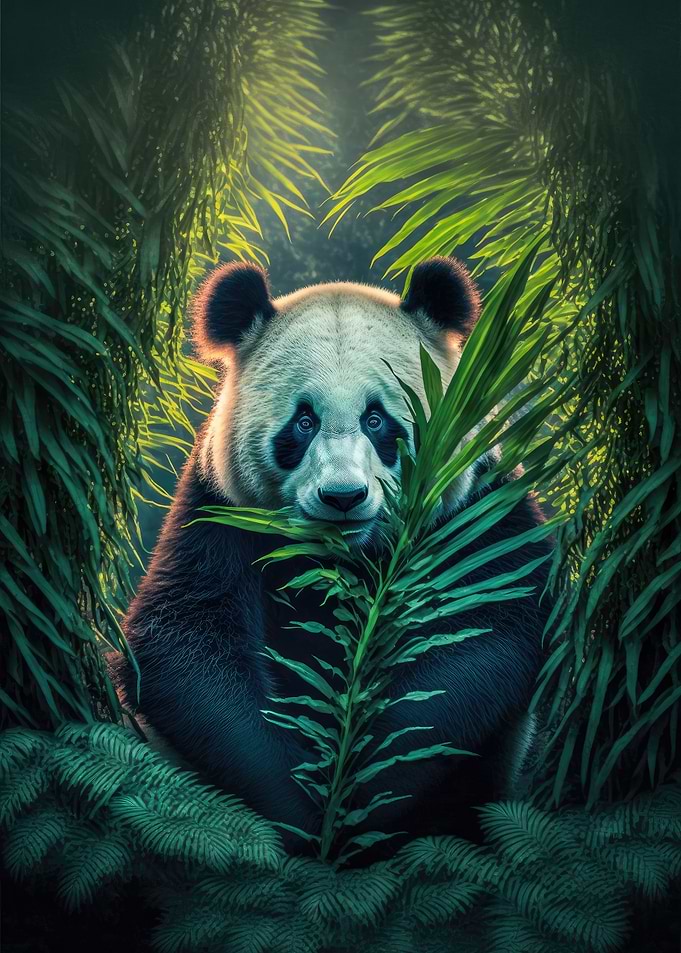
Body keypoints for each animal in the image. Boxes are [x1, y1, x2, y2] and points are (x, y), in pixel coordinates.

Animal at [112, 258, 552, 860]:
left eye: (378, 420)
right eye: (303, 422)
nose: (343, 497)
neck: (348, 558)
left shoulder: (478, 506)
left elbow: (485, 638)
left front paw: (365, 791)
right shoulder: (219, 511)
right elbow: (184, 645)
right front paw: (302, 812)